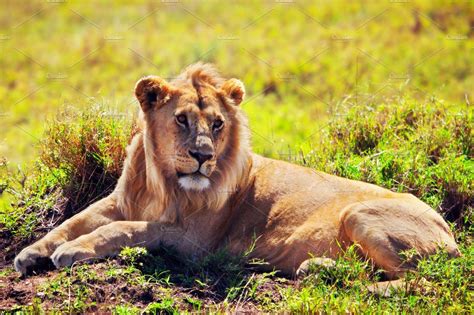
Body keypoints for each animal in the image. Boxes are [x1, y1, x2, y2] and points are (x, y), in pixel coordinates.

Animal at [14, 62, 460, 284]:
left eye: (217, 124)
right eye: (181, 120)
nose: (202, 156)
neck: (162, 183)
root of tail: (448, 230)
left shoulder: (195, 243)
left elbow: (128, 229)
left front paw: (73, 251)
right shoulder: (118, 201)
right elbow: (74, 220)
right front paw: (31, 252)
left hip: (359, 214)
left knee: (420, 283)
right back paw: (319, 270)